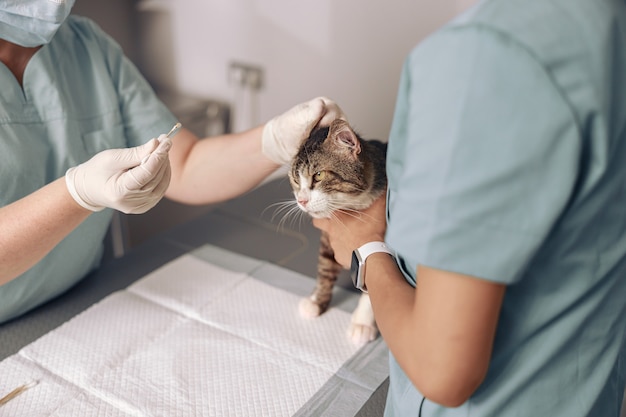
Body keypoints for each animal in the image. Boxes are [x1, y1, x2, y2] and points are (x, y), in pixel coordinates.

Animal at [288, 118, 386, 344]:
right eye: (295, 179)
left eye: (319, 175)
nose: (301, 200)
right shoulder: (329, 238)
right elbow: (325, 269)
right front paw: (317, 301)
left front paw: (362, 322)